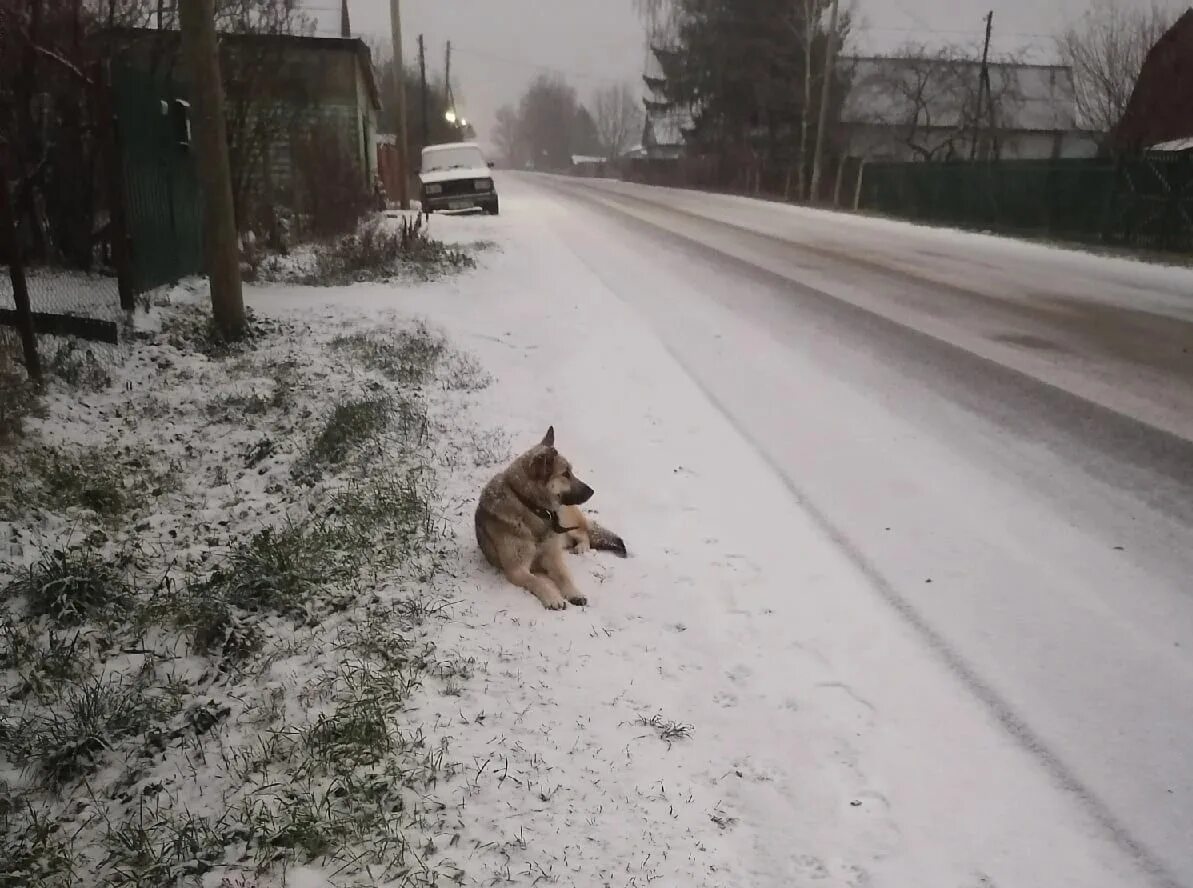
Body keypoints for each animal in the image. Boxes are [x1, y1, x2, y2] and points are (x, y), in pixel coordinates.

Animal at [472, 427, 625, 611]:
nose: (592, 491)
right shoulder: (517, 570)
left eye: (570, 471)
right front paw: (553, 597)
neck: (529, 505)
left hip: (567, 519)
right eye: (565, 474)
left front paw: (574, 593)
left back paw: (581, 548)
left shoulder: (552, 558)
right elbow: (536, 581)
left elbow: (564, 575)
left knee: (584, 533)